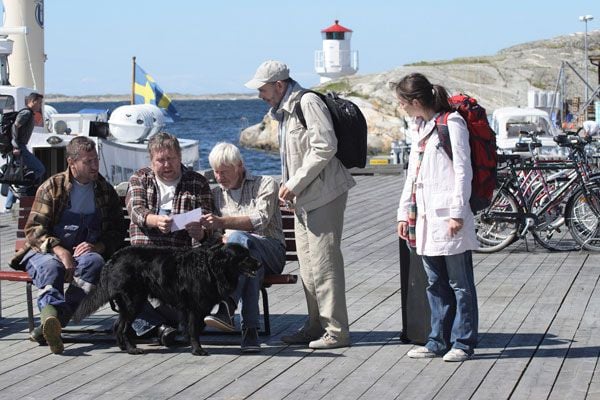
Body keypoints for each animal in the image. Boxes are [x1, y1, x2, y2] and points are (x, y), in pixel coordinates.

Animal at [72, 242, 258, 354]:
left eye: (249, 254)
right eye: (244, 257)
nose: (260, 263)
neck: (210, 268)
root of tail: (113, 259)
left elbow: (193, 329)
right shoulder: (194, 308)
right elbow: (193, 330)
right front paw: (198, 350)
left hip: (130, 303)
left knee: (117, 325)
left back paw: (124, 347)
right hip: (134, 301)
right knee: (123, 327)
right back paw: (133, 349)